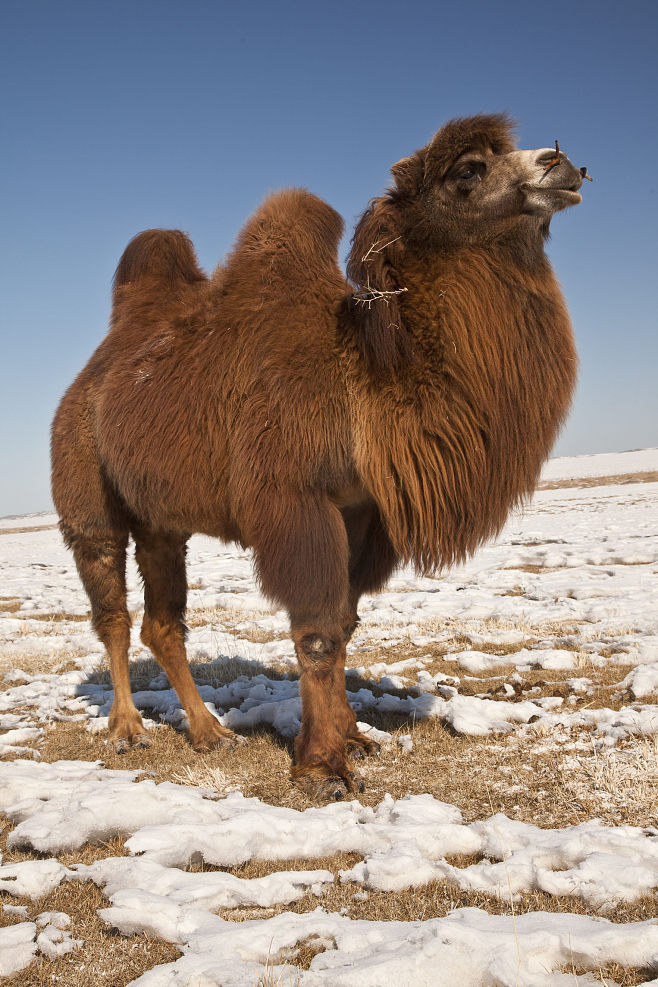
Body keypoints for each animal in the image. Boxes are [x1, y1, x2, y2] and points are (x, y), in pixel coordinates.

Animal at [51, 112, 584, 800]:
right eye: (468, 169)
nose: (561, 164)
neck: (364, 377)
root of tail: (94, 372)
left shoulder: (362, 513)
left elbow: (347, 622)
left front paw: (353, 738)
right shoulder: (295, 501)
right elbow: (318, 632)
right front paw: (323, 766)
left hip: (162, 520)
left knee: (161, 623)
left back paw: (209, 732)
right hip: (86, 493)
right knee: (112, 613)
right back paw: (127, 729)